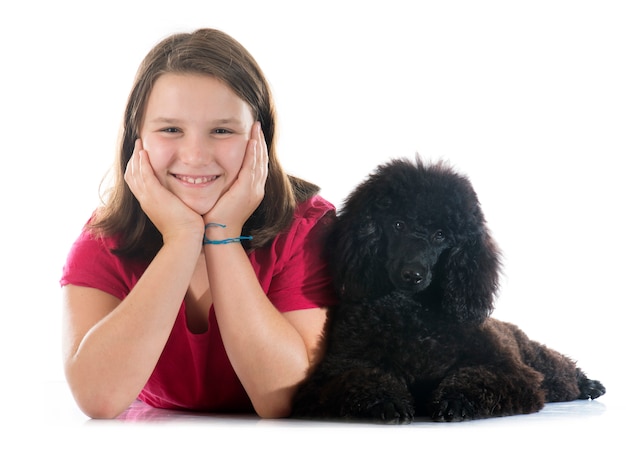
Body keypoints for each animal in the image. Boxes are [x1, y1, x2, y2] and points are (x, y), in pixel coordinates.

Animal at [292, 157, 604, 422]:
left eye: (440, 235)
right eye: (398, 224)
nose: (413, 275)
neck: (412, 313)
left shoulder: (511, 371)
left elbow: (476, 378)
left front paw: (454, 401)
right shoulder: (335, 371)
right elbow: (363, 377)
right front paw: (387, 401)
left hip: (538, 361)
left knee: (561, 370)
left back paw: (588, 384)